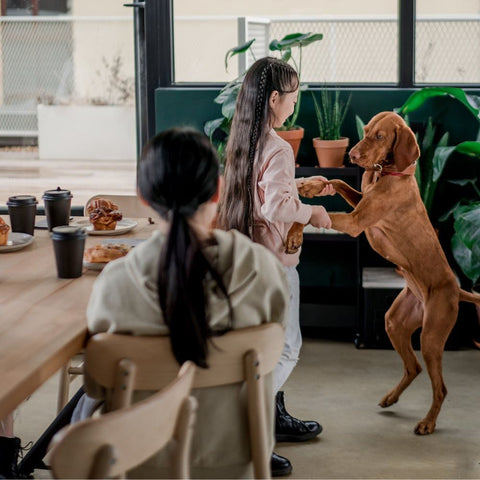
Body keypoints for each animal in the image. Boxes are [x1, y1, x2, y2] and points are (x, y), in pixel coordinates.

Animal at [288, 111, 480, 436]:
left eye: (380, 136)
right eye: (365, 130)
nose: (352, 156)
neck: (388, 174)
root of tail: (457, 289)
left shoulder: (355, 222)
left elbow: (317, 212)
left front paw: (294, 232)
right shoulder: (358, 202)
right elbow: (335, 181)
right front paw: (311, 186)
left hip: (431, 336)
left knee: (440, 387)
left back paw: (428, 423)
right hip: (395, 322)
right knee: (413, 367)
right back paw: (391, 397)